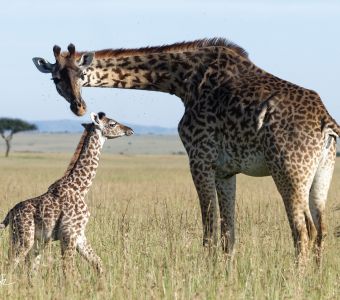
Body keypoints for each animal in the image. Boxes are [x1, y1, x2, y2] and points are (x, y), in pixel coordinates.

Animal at [0, 112, 133, 276]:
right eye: (112, 123)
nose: (130, 130)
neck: (81, 189)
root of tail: (10, 213)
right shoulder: (69, 234)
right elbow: (69, 271)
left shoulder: (79, 234)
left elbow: (98, 264)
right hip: (24, 239)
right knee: (9, 266)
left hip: (32, 241)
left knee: (29, 269)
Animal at [33, 38, 338, 264]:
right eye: (56, 79)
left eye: (81, 74)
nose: (78, 106)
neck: (183, 81)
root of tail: (326, 123)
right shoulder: (225, 170)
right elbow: (228, 231)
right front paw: (225, 273)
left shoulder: (199, 158)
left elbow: (209, 228)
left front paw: (208, 272)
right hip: (321, 172)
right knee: (321, 228)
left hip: (288, 171)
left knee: (304, 230)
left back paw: (296, 279)